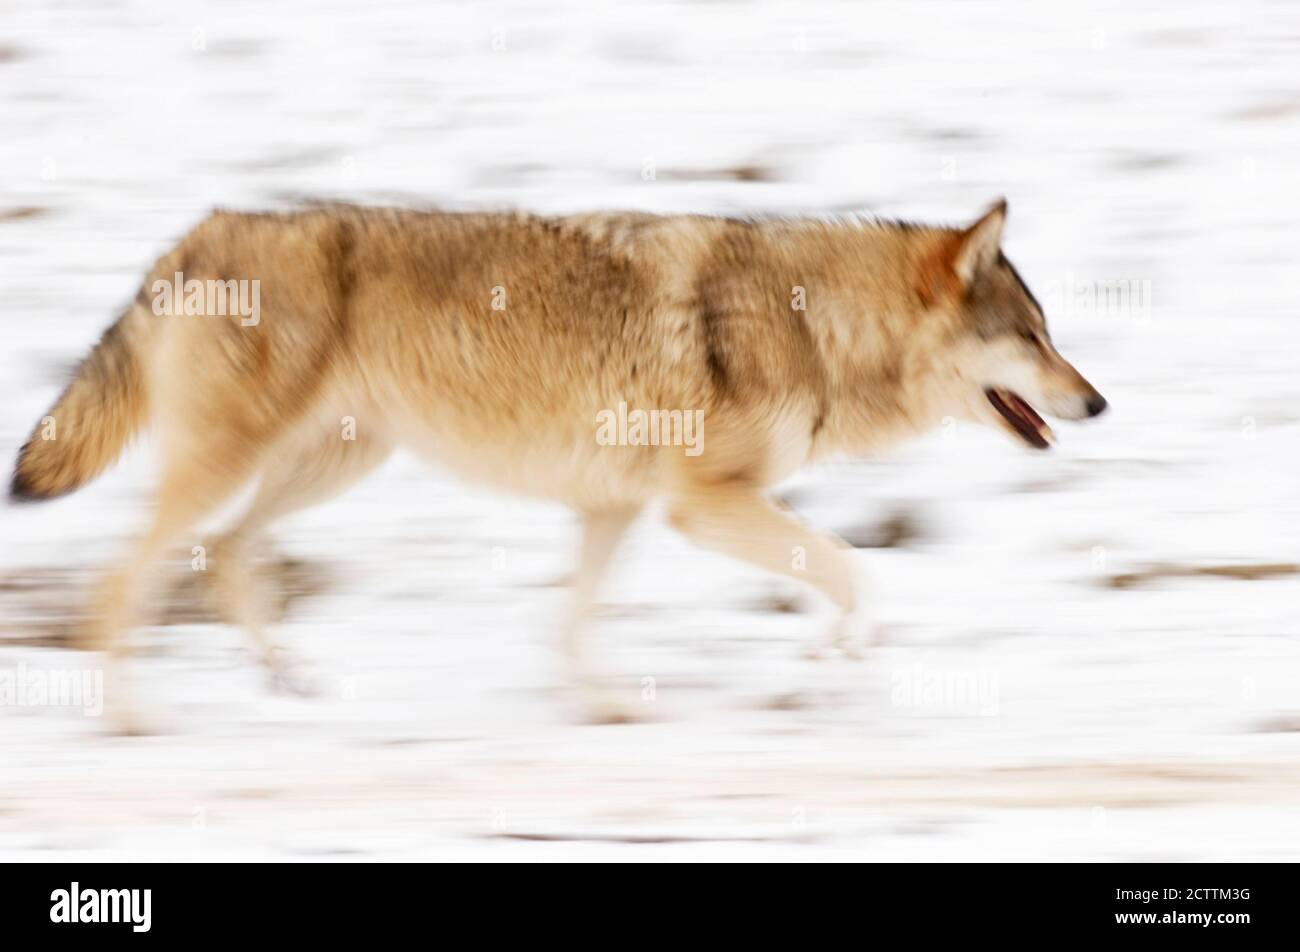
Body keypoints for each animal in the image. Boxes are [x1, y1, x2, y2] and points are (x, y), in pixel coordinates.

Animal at [9, 199, 1106, 726]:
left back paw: (289, 680)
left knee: (230, 557)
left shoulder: (613, 508)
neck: (816, 328)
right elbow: (854, 573)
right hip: (237, 465)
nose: (1096, 402)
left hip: (328, 464)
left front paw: (604, 707)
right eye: (1033, 338)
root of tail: (197, 232)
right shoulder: (703, 506)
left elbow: (571, 623)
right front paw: (831, 668)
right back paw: (130, 720)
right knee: (122, 580)